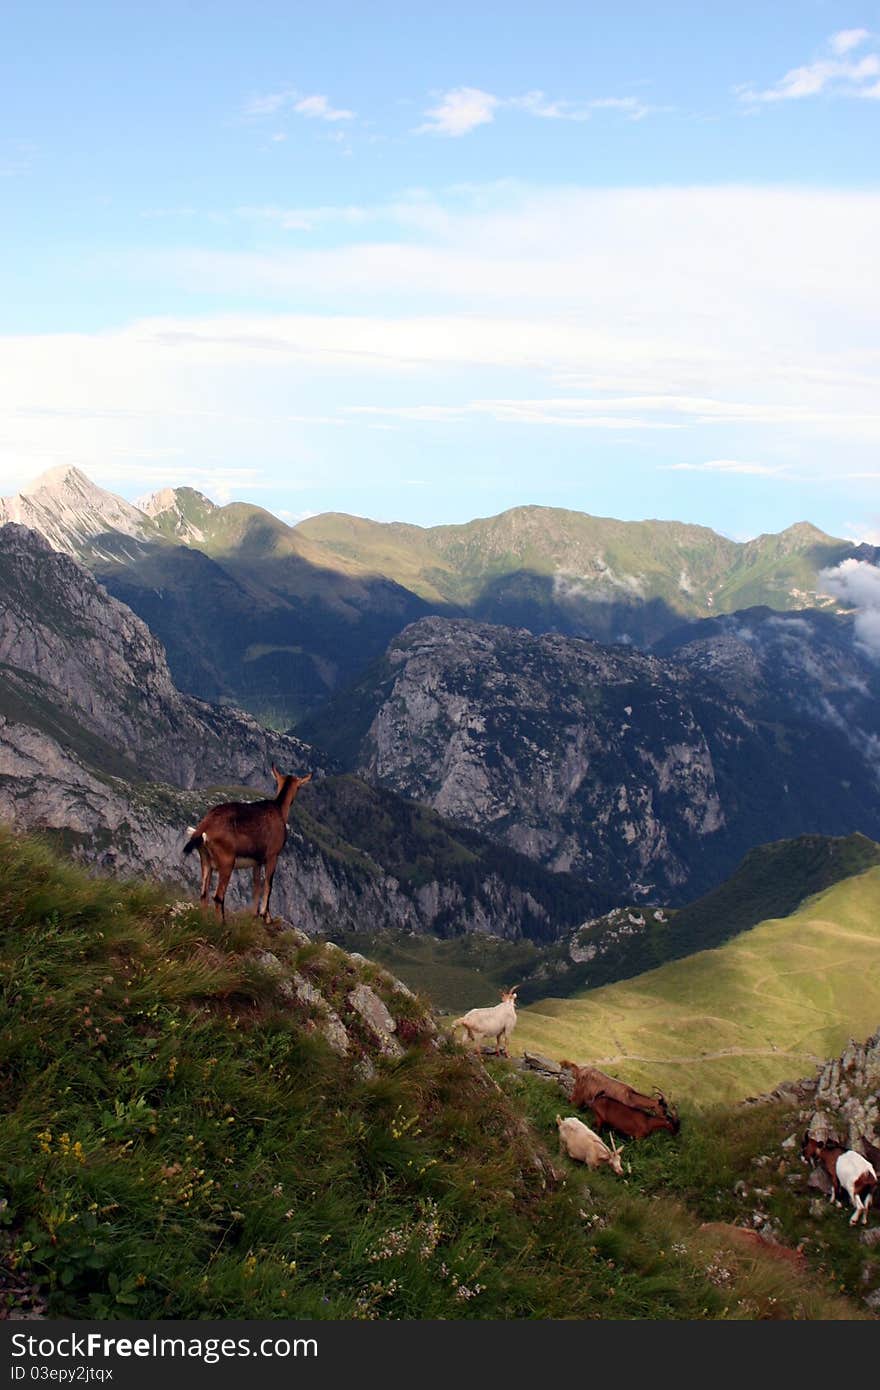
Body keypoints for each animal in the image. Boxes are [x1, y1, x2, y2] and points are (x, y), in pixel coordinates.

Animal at [182, 767, 312, 917]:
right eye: (299, 786)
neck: (278, 809)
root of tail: (205, 825)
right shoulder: (272, 856)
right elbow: (268, 886)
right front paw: (265, 915)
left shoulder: (257, 862)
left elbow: (256, 888)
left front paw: (254, 915)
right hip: (227, 861)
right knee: (218, 896)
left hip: (205, 860)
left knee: (204, 894)